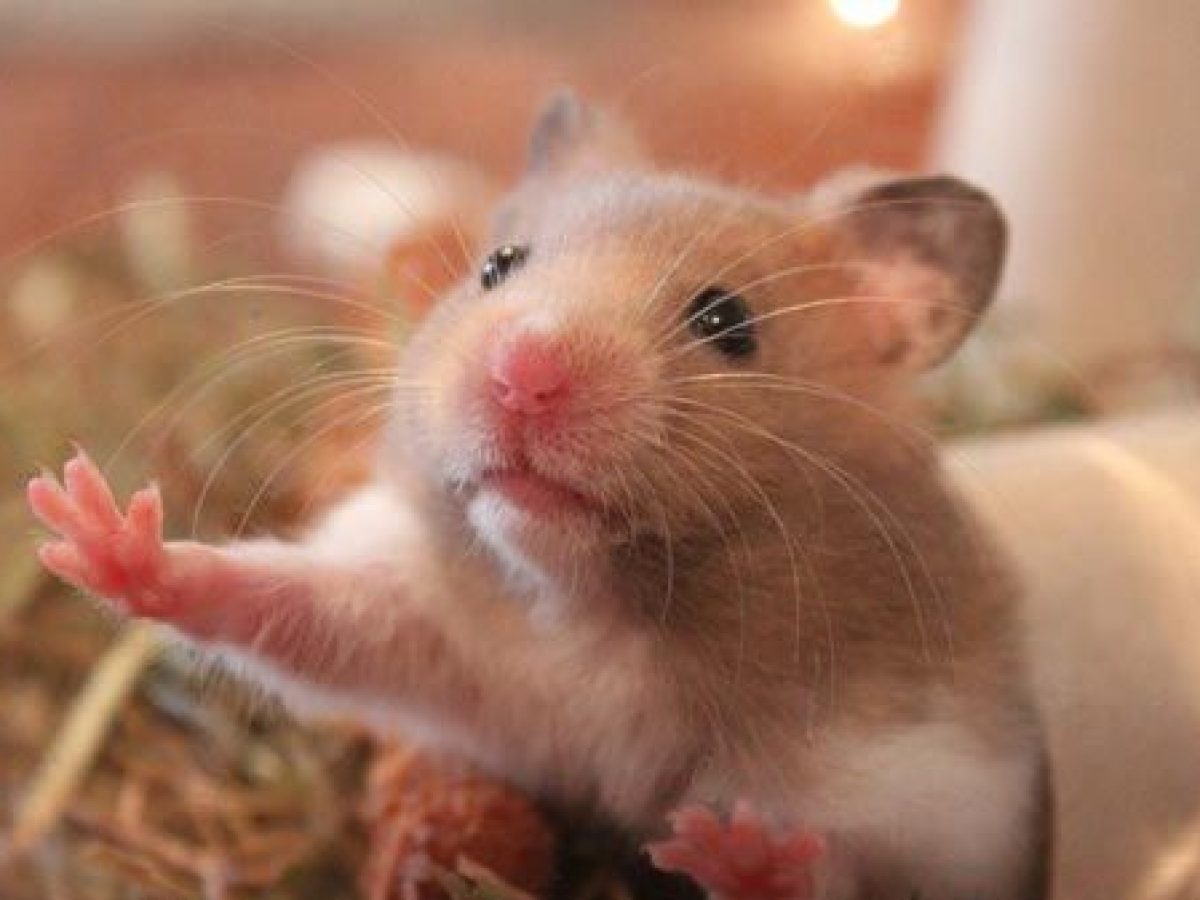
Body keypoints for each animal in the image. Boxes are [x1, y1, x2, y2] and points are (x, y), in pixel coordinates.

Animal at [28, 91, 1046, 900]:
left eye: (728, 321)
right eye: (498, 265)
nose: (524, 372)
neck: (594, 610)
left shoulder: (924, 793)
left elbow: (832, 872)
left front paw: (737, 852)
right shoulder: (437, 635)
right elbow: (286, 604)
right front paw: (94, 528)